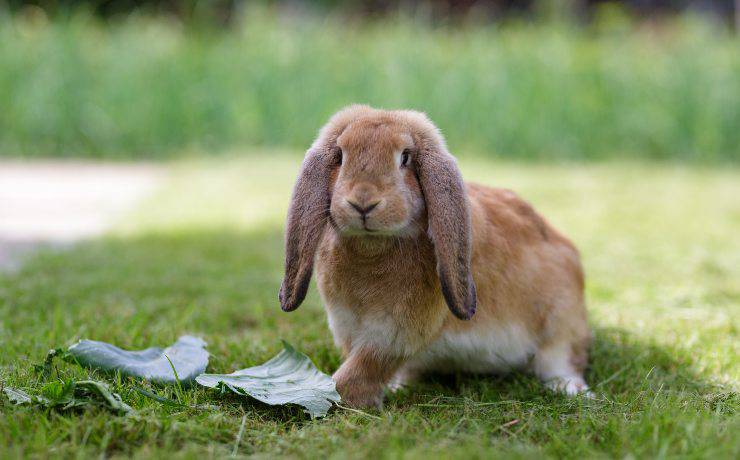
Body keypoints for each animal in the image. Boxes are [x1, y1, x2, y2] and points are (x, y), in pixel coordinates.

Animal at [279, 105, 591, 409]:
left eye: (405, 157)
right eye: (341, 156)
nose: (363, 202)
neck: (371, 247)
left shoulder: (395, 335)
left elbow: (360, 370)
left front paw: (343, 399)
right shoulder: (347, 326)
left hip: (561, 326)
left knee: (563, 363)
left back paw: (573, 390)